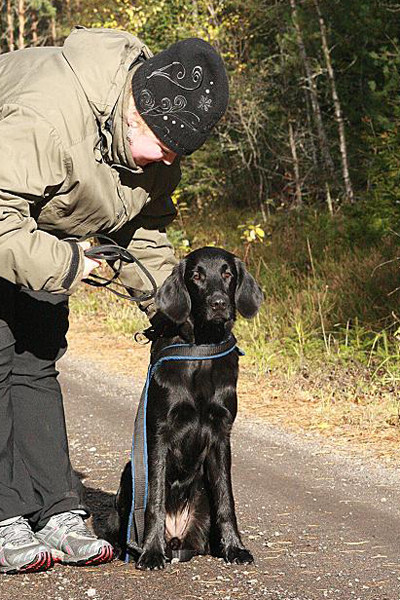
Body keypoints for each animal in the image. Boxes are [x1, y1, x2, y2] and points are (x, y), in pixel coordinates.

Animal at [112, 246, 262, 568]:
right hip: (129, 473)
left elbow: (226, 500)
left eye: (228, 274)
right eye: (196, 276)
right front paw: (151, 551)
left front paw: (234, 547)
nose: (218, 303)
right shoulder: (158, 432)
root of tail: (177, 537)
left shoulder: (221, 435)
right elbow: (154, 498)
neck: (202, 348)